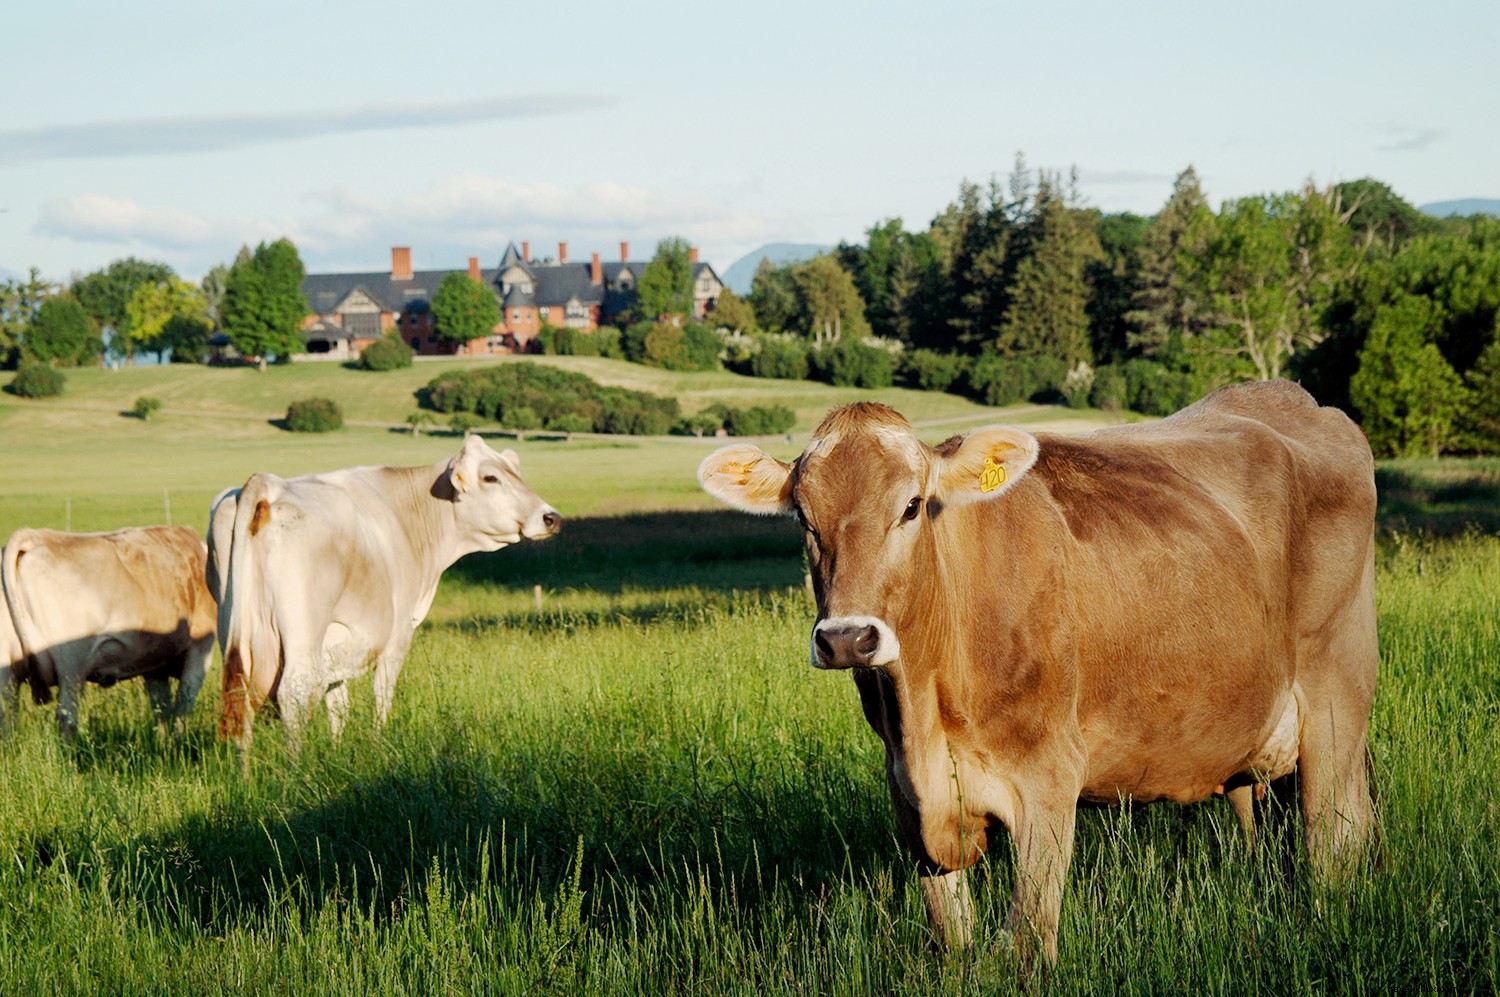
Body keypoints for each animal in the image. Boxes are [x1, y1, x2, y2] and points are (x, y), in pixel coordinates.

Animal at [0, 524, 220, 734]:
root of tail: (35, 537)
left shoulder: (154, 662)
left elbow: (162, 710)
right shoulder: (200, 649)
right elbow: (184, 704)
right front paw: (180, 742)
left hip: (7, 673)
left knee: (8, 718)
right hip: (71, 668)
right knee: (67, 717)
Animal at [208, 434, 561, 755]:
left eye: (515, 472)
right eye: (490, 477)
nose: (551, 517)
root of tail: (268, 484)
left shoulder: (339, 642)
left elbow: (339, 706)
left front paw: (337, 752)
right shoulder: (398, 634)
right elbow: (381, 694)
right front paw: (379, 746)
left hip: (234, 625)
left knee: (240, 701)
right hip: (302, 631)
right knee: (295, 694)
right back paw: (296, 772)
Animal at [696, 380, 1374, 965]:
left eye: (912, 506)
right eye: (803, 518)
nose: (846, 638)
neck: (924, 711)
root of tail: (1292, 398)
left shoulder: (1048, 776)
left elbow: (1026, 943)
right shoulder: (909, 797)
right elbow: (953, 940)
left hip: (1336, 700)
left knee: (1334, 844)